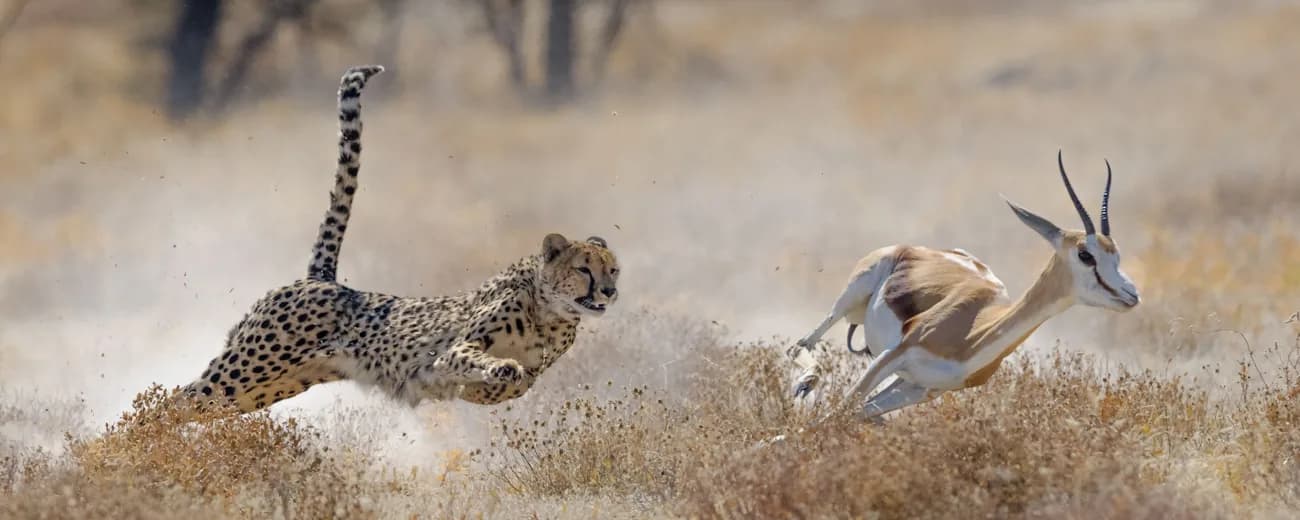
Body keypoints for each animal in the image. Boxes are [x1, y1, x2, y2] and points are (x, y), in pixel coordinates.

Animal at [176, 65, 620, 413]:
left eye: (613, 270)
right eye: (584, 269)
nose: (610, 292)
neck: (550, 312)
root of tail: (321, 279)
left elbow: (518, 384)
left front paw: (495, 381)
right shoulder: (454, 349)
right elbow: (478, 361)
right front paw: (499, 369)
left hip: (264, 388)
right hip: (246, 369)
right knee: (173, 401)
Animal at [786, 151, 1140, 421]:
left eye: (1116, 255)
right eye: (1085, 254)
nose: (1132, 294)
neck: (971, 333)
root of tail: (917, 248)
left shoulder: (922, 389)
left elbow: (843, 415)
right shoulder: (892, 355)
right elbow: (836, 411)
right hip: (851, 297)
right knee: (801, 345)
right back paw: (804, 383)